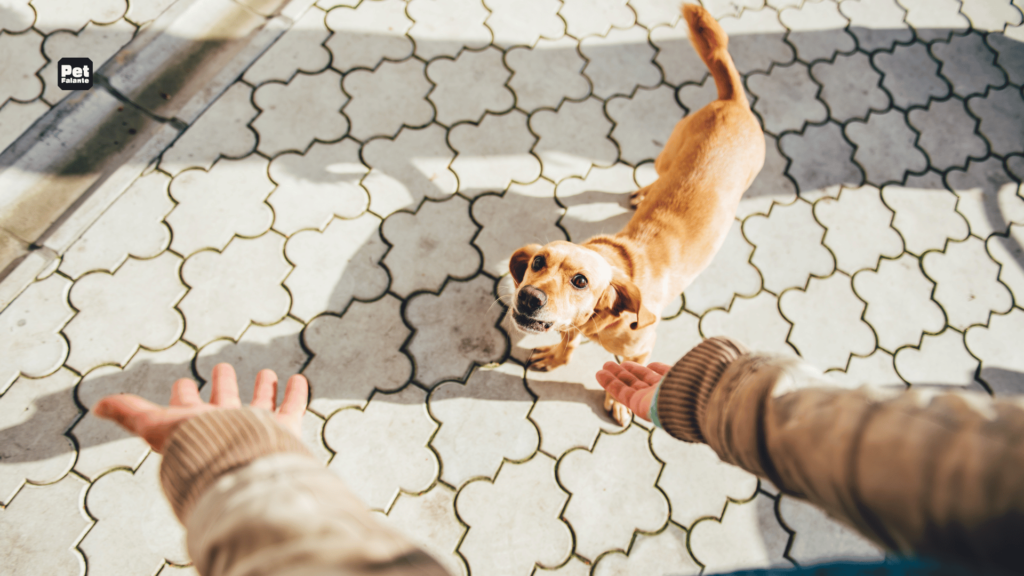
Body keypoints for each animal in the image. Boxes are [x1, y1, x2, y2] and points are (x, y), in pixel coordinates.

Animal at [507, 3, 765, 426]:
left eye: (580, 281)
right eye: (537, 262)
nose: (528, 297)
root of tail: (734, 101)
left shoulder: (643, 347)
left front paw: (619, 401)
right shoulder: (572, 327)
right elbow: (568, 343)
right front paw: (559, 357)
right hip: (666, 157)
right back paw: (643, 193)